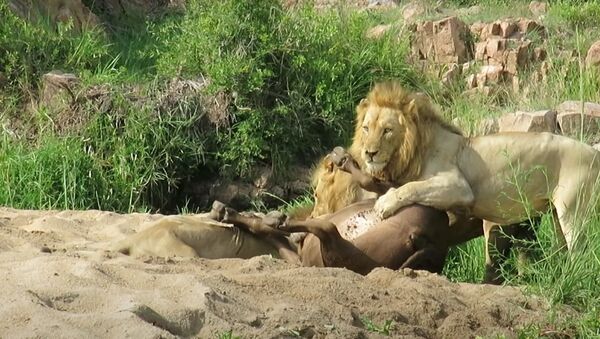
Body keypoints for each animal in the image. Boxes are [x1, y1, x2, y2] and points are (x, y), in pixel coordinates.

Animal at [354, 81, 600, 268]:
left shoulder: (458, 185)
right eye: (366, 129)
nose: (369, 153)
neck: (415, 150)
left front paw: (385, 204)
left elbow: (413, 186)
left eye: (387, 130)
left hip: (573, 211)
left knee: (581, 253)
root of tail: (594, 153)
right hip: (558, 214)